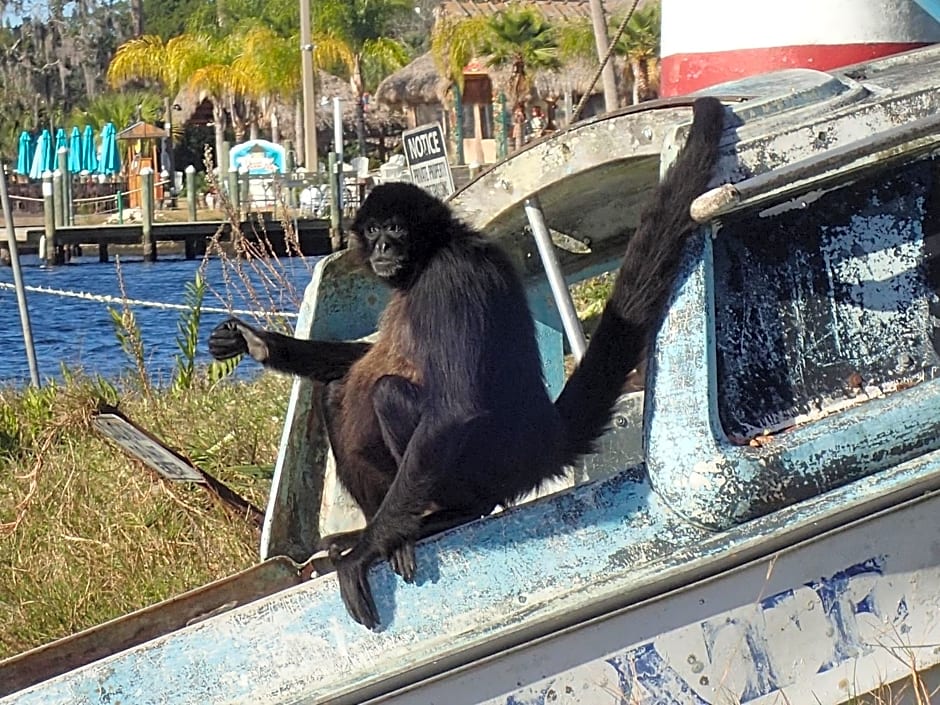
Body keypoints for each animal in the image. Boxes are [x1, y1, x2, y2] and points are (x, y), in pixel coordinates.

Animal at [211, 97, 728, 628]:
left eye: (396, 229)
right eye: (373, 230)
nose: (382, 247)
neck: (431, 257)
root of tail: (540, 443)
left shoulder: (451, 280)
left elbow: (454, 406)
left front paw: (366, 551)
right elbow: (358, 362)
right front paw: (258, 343)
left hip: (481, 467)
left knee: (388, 393)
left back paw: (446, 517)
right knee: (339, 390)